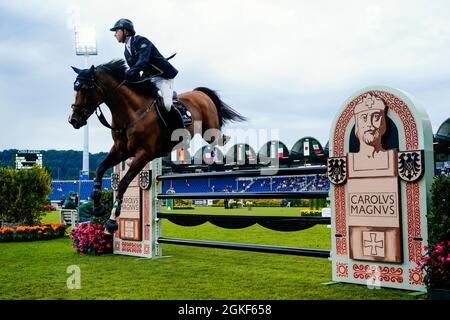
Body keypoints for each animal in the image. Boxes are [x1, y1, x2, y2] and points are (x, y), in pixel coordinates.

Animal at [67, 59, 246, 232]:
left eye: (85, 89)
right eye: (75, 88)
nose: (73, 120)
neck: (131, 114)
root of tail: (200, 92)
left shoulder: (143, 154)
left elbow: (124, 182)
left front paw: (112, 219)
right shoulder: (120, 151)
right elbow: (100, 169)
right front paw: (98, 207)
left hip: (210, 131)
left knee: (219, 141)